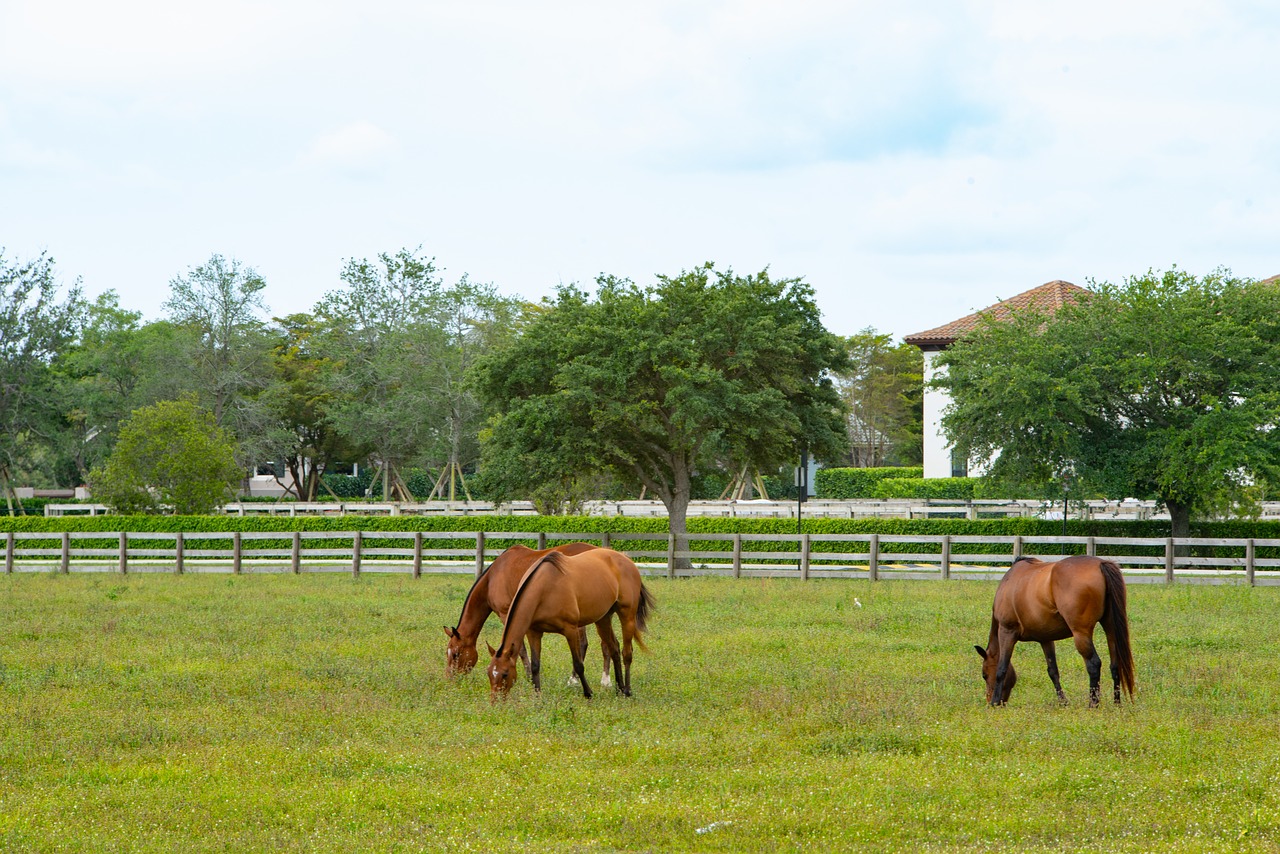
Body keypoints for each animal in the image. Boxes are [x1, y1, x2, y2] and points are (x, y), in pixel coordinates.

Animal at [440, 545, 604, 686]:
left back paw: (574, 679)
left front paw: (528, 676)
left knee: (583, 643)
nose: (450, 678)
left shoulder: (506, 614)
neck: (492, 578)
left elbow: (521, 650)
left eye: (455, 654)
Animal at [483, 547, 655, 701]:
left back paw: (627, 691)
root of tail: (625, 558)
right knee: (613, 648)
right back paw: (619, 688)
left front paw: (588, 693)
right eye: (489, 672)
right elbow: (535, 665)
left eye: (505, 673)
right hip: (603, 619)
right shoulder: (534, 633)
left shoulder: (570, 630)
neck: (545, 588)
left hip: (627, 616)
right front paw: (537, 696)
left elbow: (578, 664)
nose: (494, 701)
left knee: (627, 653)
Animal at [972, 555, 1136, 706]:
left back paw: (1093, 704)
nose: (988, 699)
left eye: (984, 675)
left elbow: (1002, 668)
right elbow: (1053, 671)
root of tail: (1100, 563)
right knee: (1115, 664)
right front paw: (1063, 702)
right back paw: (1117, 704)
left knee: (1094, 664)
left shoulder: (1007, 632)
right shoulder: (1045, 639)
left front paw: (994, 703)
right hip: (1110, 628)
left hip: (1081, 634)